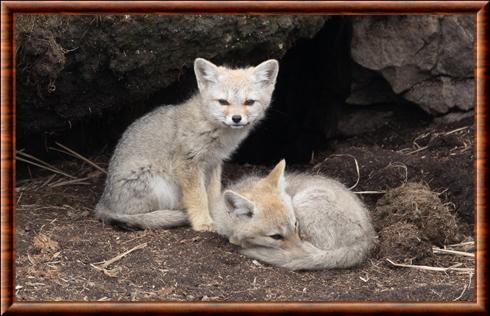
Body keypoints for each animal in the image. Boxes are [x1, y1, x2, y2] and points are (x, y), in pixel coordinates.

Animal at [93, 56, 278, 231]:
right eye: (223, 102)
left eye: (249, 102)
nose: (237, 118)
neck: (209, 125)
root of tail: (103, 203)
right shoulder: (188, 164)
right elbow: (198, 197)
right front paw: (203, 222)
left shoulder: (213, 163)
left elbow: (212, 193)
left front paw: (215, 213)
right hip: (159, 184)